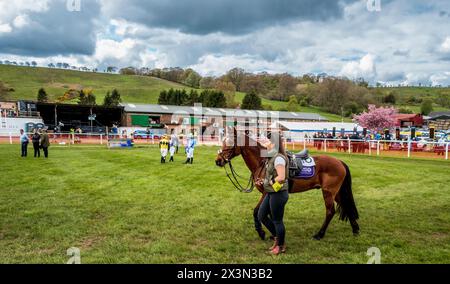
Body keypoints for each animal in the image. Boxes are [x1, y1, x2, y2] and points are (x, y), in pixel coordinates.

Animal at [216, 130, 360, 241]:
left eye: (230, 142)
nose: (218, 160)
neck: (262, 162)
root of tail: (340, 162)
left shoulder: (266, 193)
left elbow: (257, 211)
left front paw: (262, 232)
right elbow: (269, 213)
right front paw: (273, 234)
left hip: (328, 192)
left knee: (330, 211)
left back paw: (320, 234)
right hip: (337, 192)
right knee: (346, 205)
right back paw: (355, 230)